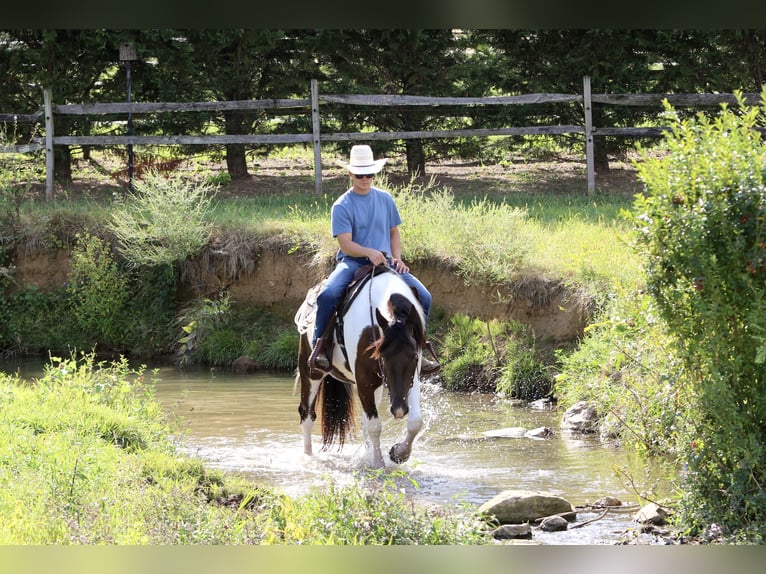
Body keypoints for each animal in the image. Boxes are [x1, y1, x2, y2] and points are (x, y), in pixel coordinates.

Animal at [294, 266, 427, 468]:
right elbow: (374, 425)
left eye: (414, 356)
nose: (398, 409)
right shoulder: (364, 379)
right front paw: (379, 464)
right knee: (307, 415)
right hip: (311, 373)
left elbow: (415, 422)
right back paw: (309, 457)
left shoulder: (412, 378)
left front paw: (399, 453)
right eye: (383, 358)